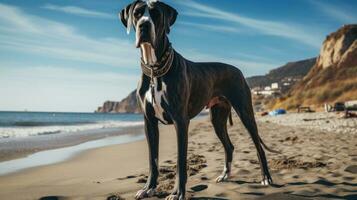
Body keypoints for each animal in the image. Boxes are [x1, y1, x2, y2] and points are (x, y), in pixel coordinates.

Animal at [119, 0, 276, 199]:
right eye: (137, 14)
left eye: (155, 14)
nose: (144, 25)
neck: (155, 69)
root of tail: (237, 70)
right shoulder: (149, 123)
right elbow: (152, 160)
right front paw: (149, 188)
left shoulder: (180, 121)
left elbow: (180, 161)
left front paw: (178, 193)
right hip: (217, 118)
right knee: (229, 146)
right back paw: (224, 175)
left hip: (245, 112)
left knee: (258, 147)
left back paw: (266, 178)